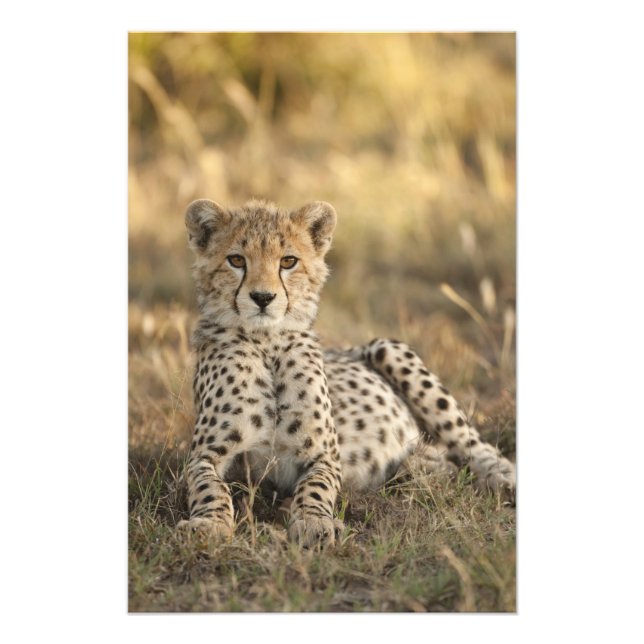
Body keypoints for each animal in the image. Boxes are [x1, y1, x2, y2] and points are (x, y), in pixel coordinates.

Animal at [177, 198, 516, 548]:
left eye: (288, 261)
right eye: (236, 260)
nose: (263, 298)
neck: (267, 342)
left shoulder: (324, 453)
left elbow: (316, 487)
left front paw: (313, 522)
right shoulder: (206, 453)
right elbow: (209, 486)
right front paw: (209, 524)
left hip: (388, 347)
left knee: (473, 444)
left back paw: (503, 478)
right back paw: (422, 464)